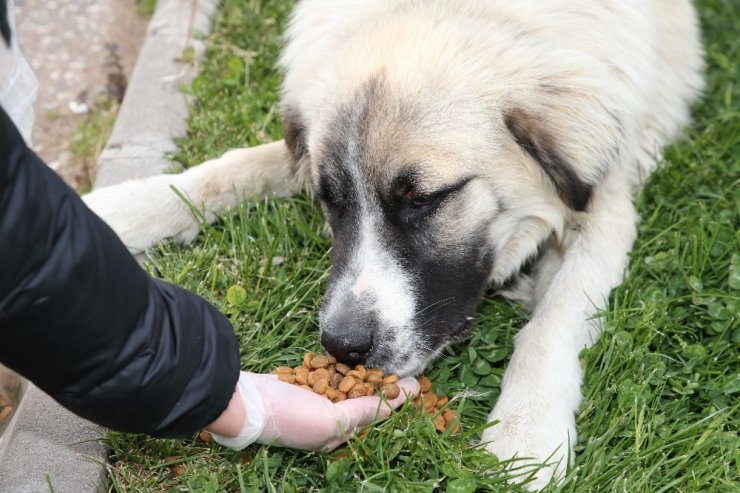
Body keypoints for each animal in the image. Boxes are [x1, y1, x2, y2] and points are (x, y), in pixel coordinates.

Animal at [84, 0, 704, 484]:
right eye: (330, 200)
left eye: (422, 198)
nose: (342, 346)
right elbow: (229, 169)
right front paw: (125, 205)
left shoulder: (605, 204)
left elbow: (553, 323)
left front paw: (525, 432)